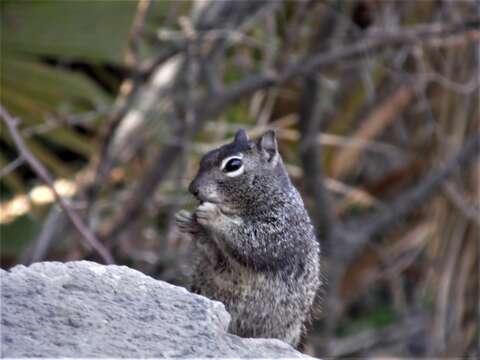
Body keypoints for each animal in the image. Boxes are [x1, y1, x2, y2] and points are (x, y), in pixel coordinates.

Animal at [174, 128, 320, 348]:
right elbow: (214, 256)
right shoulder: (220, 262)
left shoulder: (280, 231)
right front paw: (190, 223)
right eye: (205, 157)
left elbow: (251, 244)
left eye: (233, 165)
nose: (193, 189)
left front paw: (212, 215)